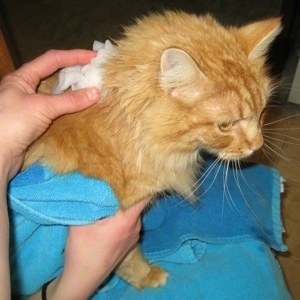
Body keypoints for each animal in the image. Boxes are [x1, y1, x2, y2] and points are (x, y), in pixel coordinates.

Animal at [24, 11, 282, 288]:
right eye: (225, 125)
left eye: (262, 113)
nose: (258, 145)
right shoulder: (113, 216)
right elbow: (127, 258)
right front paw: (146, 276)